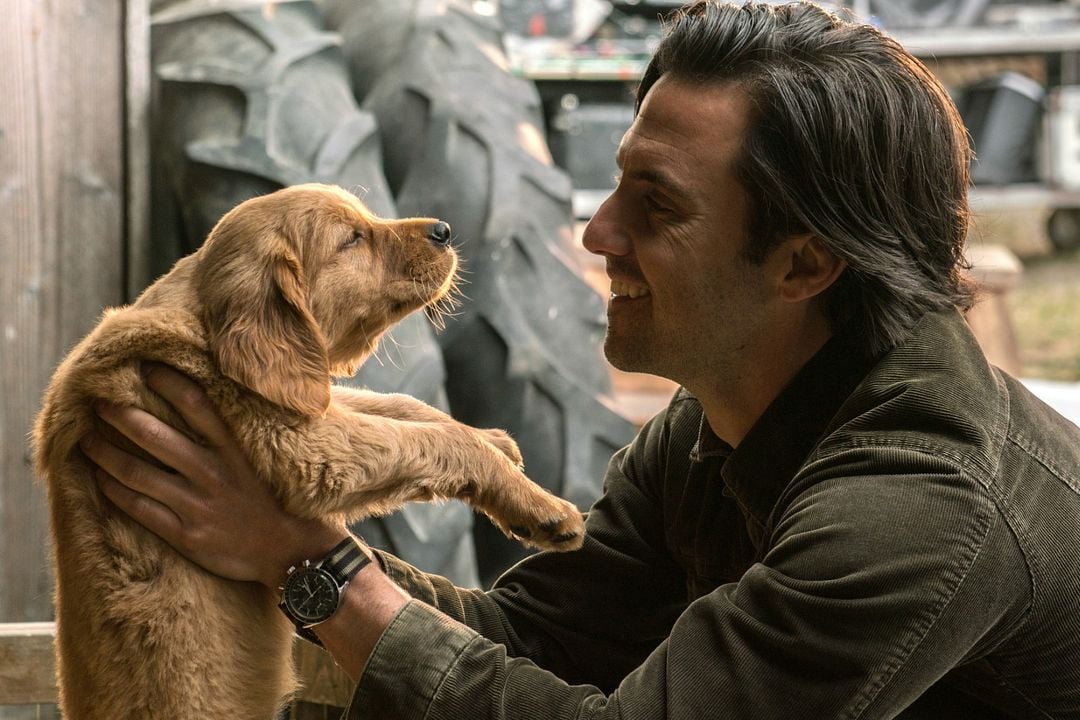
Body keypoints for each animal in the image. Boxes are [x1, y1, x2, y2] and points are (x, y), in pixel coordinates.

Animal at [33, 185, 587, 720]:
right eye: (352, 239)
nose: (445, 230)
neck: (203, 321)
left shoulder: (312, 400)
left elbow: (398, 404)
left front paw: (496, 438)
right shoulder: (299, 443)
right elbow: (428, 439)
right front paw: (545, 508)